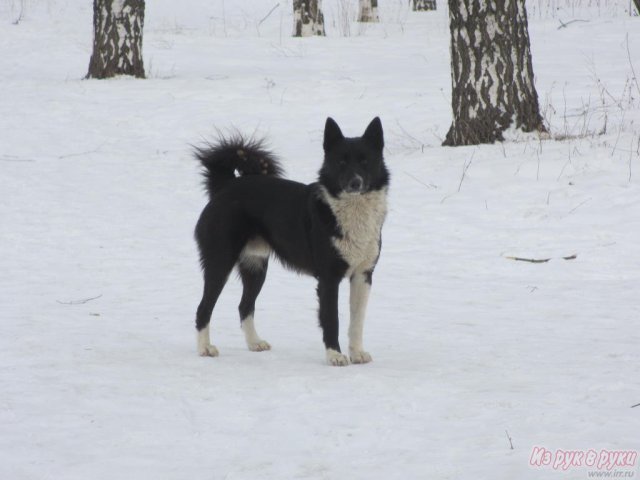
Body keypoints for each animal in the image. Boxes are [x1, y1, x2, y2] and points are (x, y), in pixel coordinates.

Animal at [192, 118, 388, 366]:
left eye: (365, 161)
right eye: (341, 162)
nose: (355, 182)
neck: (349, 211)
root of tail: (226, 186)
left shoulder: (363, 275)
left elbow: (357, 320)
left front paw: (357, 353)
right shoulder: (328, 278)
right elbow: (331, 319)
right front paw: (335, 355)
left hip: (255, 266)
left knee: (244, 306)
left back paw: (255, 343)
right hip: (220, 262)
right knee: (203, 308)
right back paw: (204, 348)